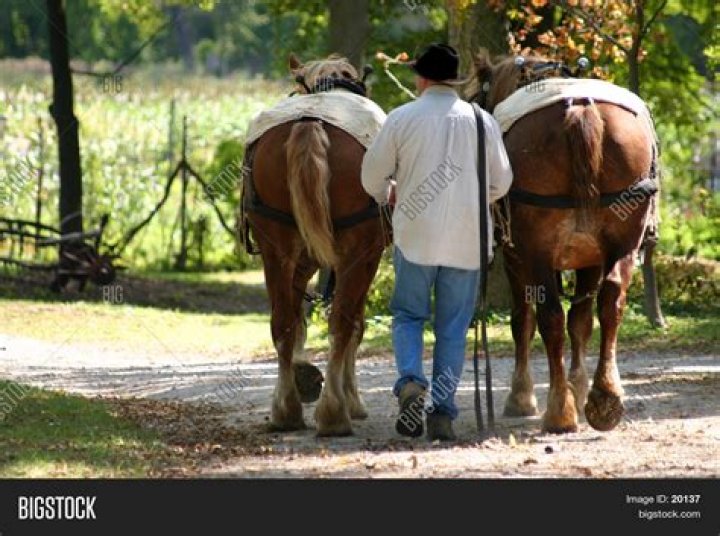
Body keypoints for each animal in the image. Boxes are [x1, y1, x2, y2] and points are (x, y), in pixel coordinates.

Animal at [240, 55, 388, 436]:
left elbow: (295, 322)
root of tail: (310, 123)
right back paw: (335, 414)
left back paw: (286, 411)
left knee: (282, 324)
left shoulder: (301, 261)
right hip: (358, 252)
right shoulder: (367, 256)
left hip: (276, 247)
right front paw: (353, 400)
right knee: (341, 323)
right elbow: (355, 324)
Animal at [469, 53, 660, 433]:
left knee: (550, 317)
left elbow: (524, 321)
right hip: (622, 242)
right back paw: (605, 397)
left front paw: (523, 395)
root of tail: (580, 110)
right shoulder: (591, 259)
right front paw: (580, 385)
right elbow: (582, 320)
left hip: (536, 253)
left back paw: (559, 409)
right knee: (611, 302)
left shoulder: (516, 258)